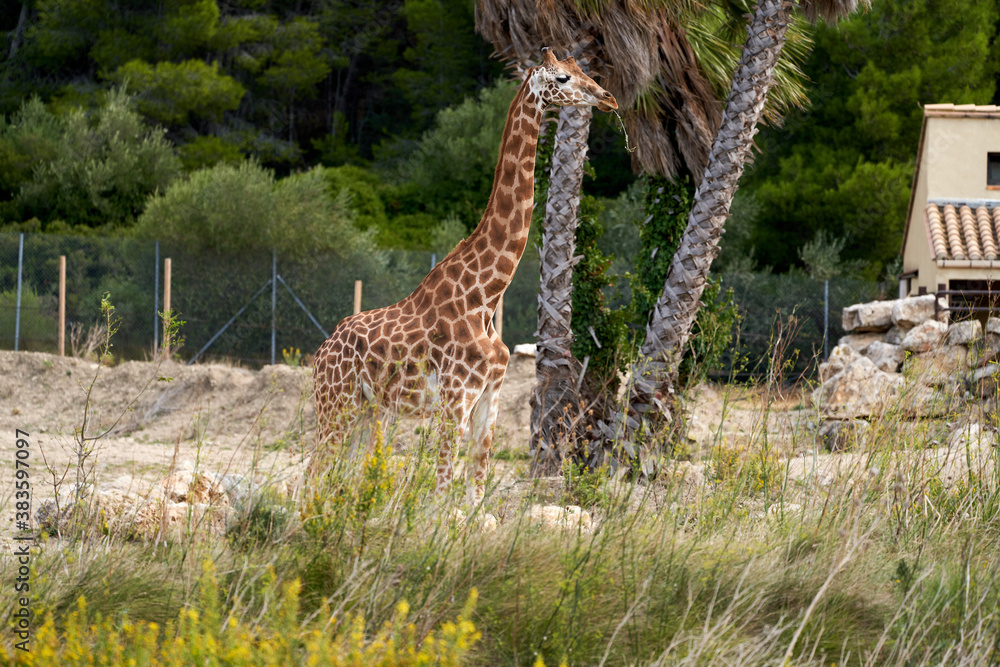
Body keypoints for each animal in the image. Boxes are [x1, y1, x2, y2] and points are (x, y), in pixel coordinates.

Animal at [313, 48, 618, 502]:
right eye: (563, 78)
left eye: (584, 69)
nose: (607, 98)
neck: (485, 297)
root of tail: (320, 353)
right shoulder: (456, 397)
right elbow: (442, 490)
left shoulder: (490, 395)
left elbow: (476, 482)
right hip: (335, 403)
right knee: (314, 470)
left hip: (368, 411)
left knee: (340, 479)